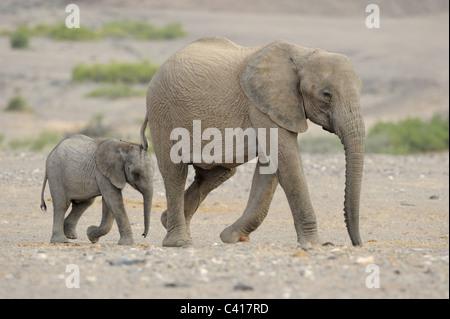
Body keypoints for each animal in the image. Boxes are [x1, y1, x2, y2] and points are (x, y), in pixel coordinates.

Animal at [144, 37, 366, 248]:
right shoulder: (261, 105)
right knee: (175, 171)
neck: (301, 53)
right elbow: (286, 160)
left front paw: (232, 237)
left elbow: (271, 166)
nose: (357, 243)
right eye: (326, 95)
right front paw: (314, 243)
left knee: (216, 173)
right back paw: (179, 242)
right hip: (162, 109)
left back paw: (167, 221)